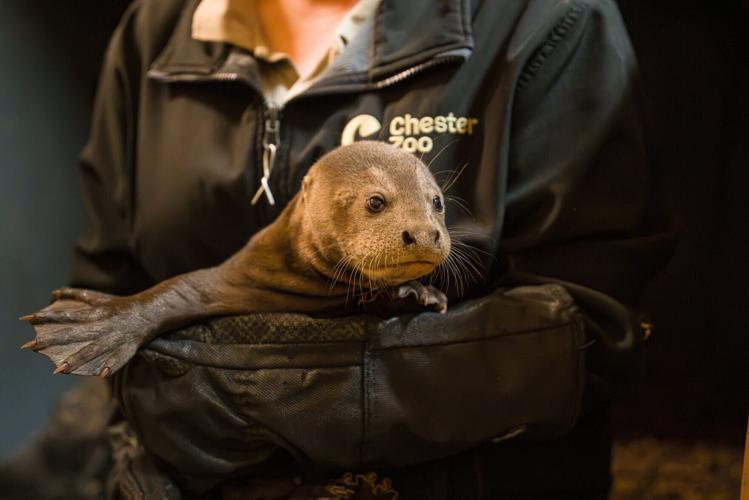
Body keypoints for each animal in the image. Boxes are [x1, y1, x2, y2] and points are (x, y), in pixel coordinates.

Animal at [20, 141, 452, 377]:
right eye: (376, 201)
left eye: (437, 202)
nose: (424, 234)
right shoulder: (237, 272)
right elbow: (173, 291)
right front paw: (96, 327)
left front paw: (416, 294)